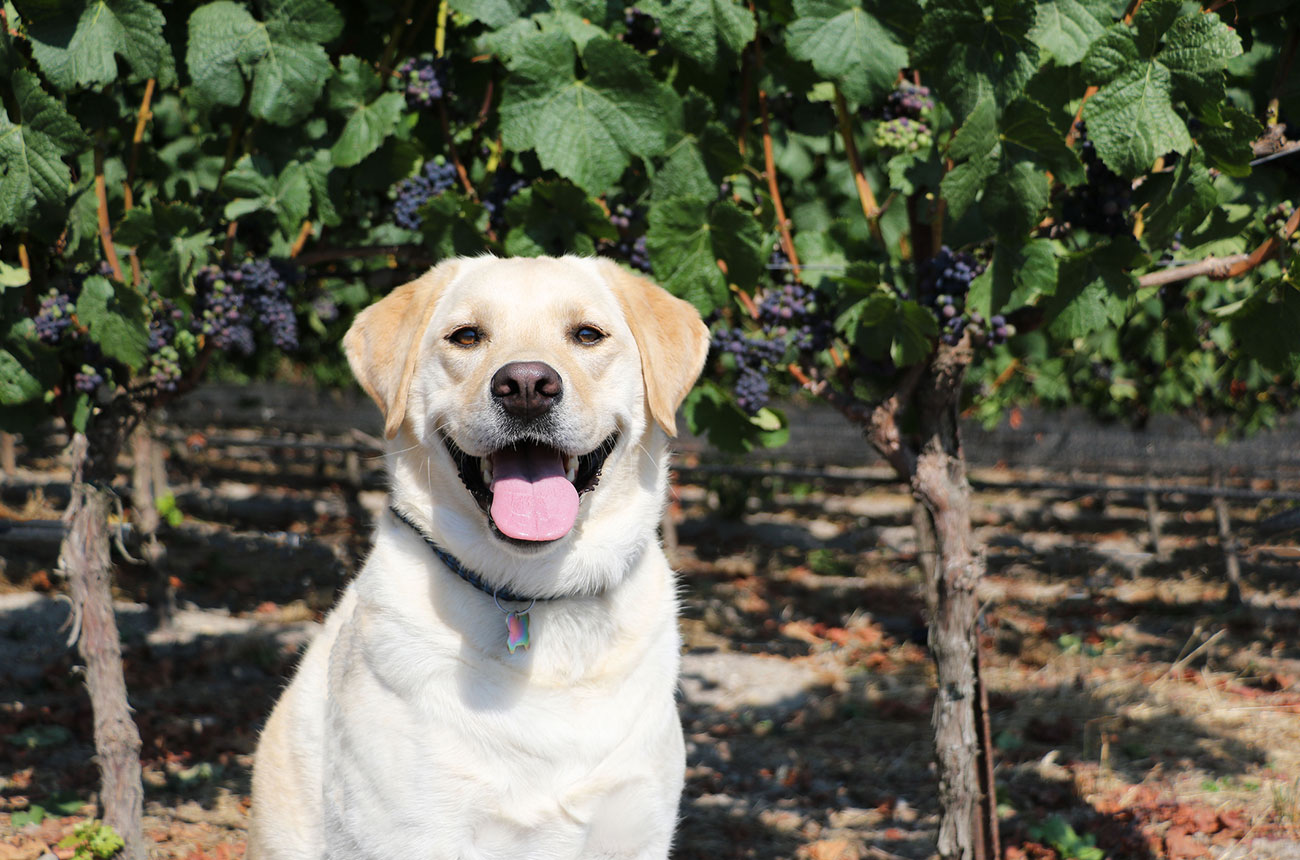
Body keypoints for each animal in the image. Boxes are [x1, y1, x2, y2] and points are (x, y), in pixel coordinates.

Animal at [244, 257, 712, 860]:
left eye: (588, 334)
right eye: (466, 336)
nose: (527, 386)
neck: (538, 594)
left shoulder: (635, 833)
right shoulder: (408, 834)